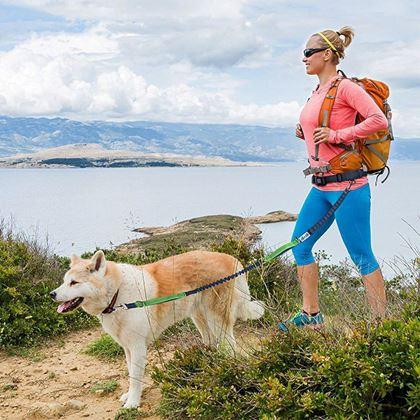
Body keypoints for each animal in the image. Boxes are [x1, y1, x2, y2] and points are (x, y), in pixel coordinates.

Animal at [50, 249, 262, 406]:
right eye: (64, 281)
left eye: (74, 282)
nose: (52, 294)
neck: (117, 295)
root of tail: (232, 258)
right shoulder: (128, 348)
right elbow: (131, 374)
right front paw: (130, 396)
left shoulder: (137, 347)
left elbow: (135, 377)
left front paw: (133, 403)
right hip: (200, 319)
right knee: (213, 343)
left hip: (217, 320)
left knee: (230, 347)